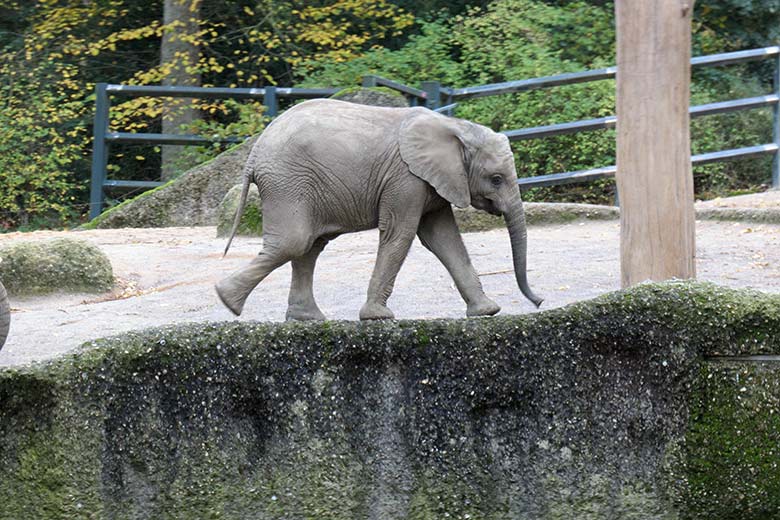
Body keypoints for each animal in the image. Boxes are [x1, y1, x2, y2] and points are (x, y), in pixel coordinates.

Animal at [213, 96, 544, 318]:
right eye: (497, 179)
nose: (539, 301)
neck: (456, 128)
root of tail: (255, 152)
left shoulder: (432, 181)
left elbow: (443, 238)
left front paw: (487, 311)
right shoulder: (406, 178)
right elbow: (401, 234)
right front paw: (378, 317)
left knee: (309, 246)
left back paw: (308, 318)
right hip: (287, 183)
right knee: (294, 242)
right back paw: (227, 301)